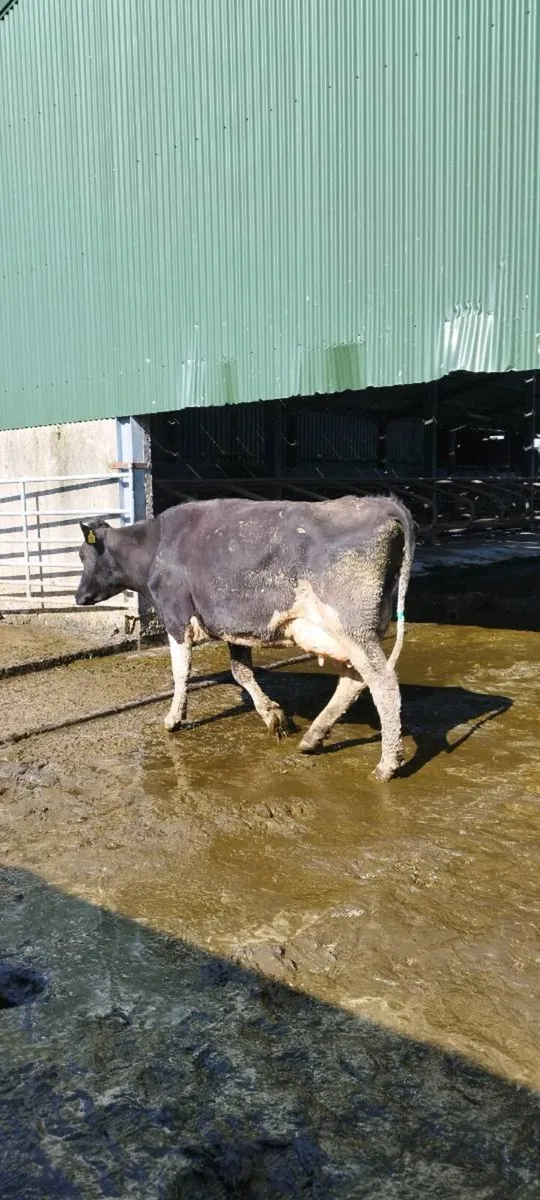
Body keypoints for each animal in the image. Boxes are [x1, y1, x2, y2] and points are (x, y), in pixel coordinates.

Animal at [75, 495, 415, 780]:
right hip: (346, 632)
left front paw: (174, 719)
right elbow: (241, 672)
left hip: (352, 628)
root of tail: (382, 503)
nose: (78, 597)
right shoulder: (235, 626)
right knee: (353, 681)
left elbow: (180, 672)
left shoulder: (175, 615)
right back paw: (313, 737)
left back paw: (387, 765)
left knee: (383, 683)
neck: (155, 545)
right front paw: (272, 715)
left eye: (81, 554)